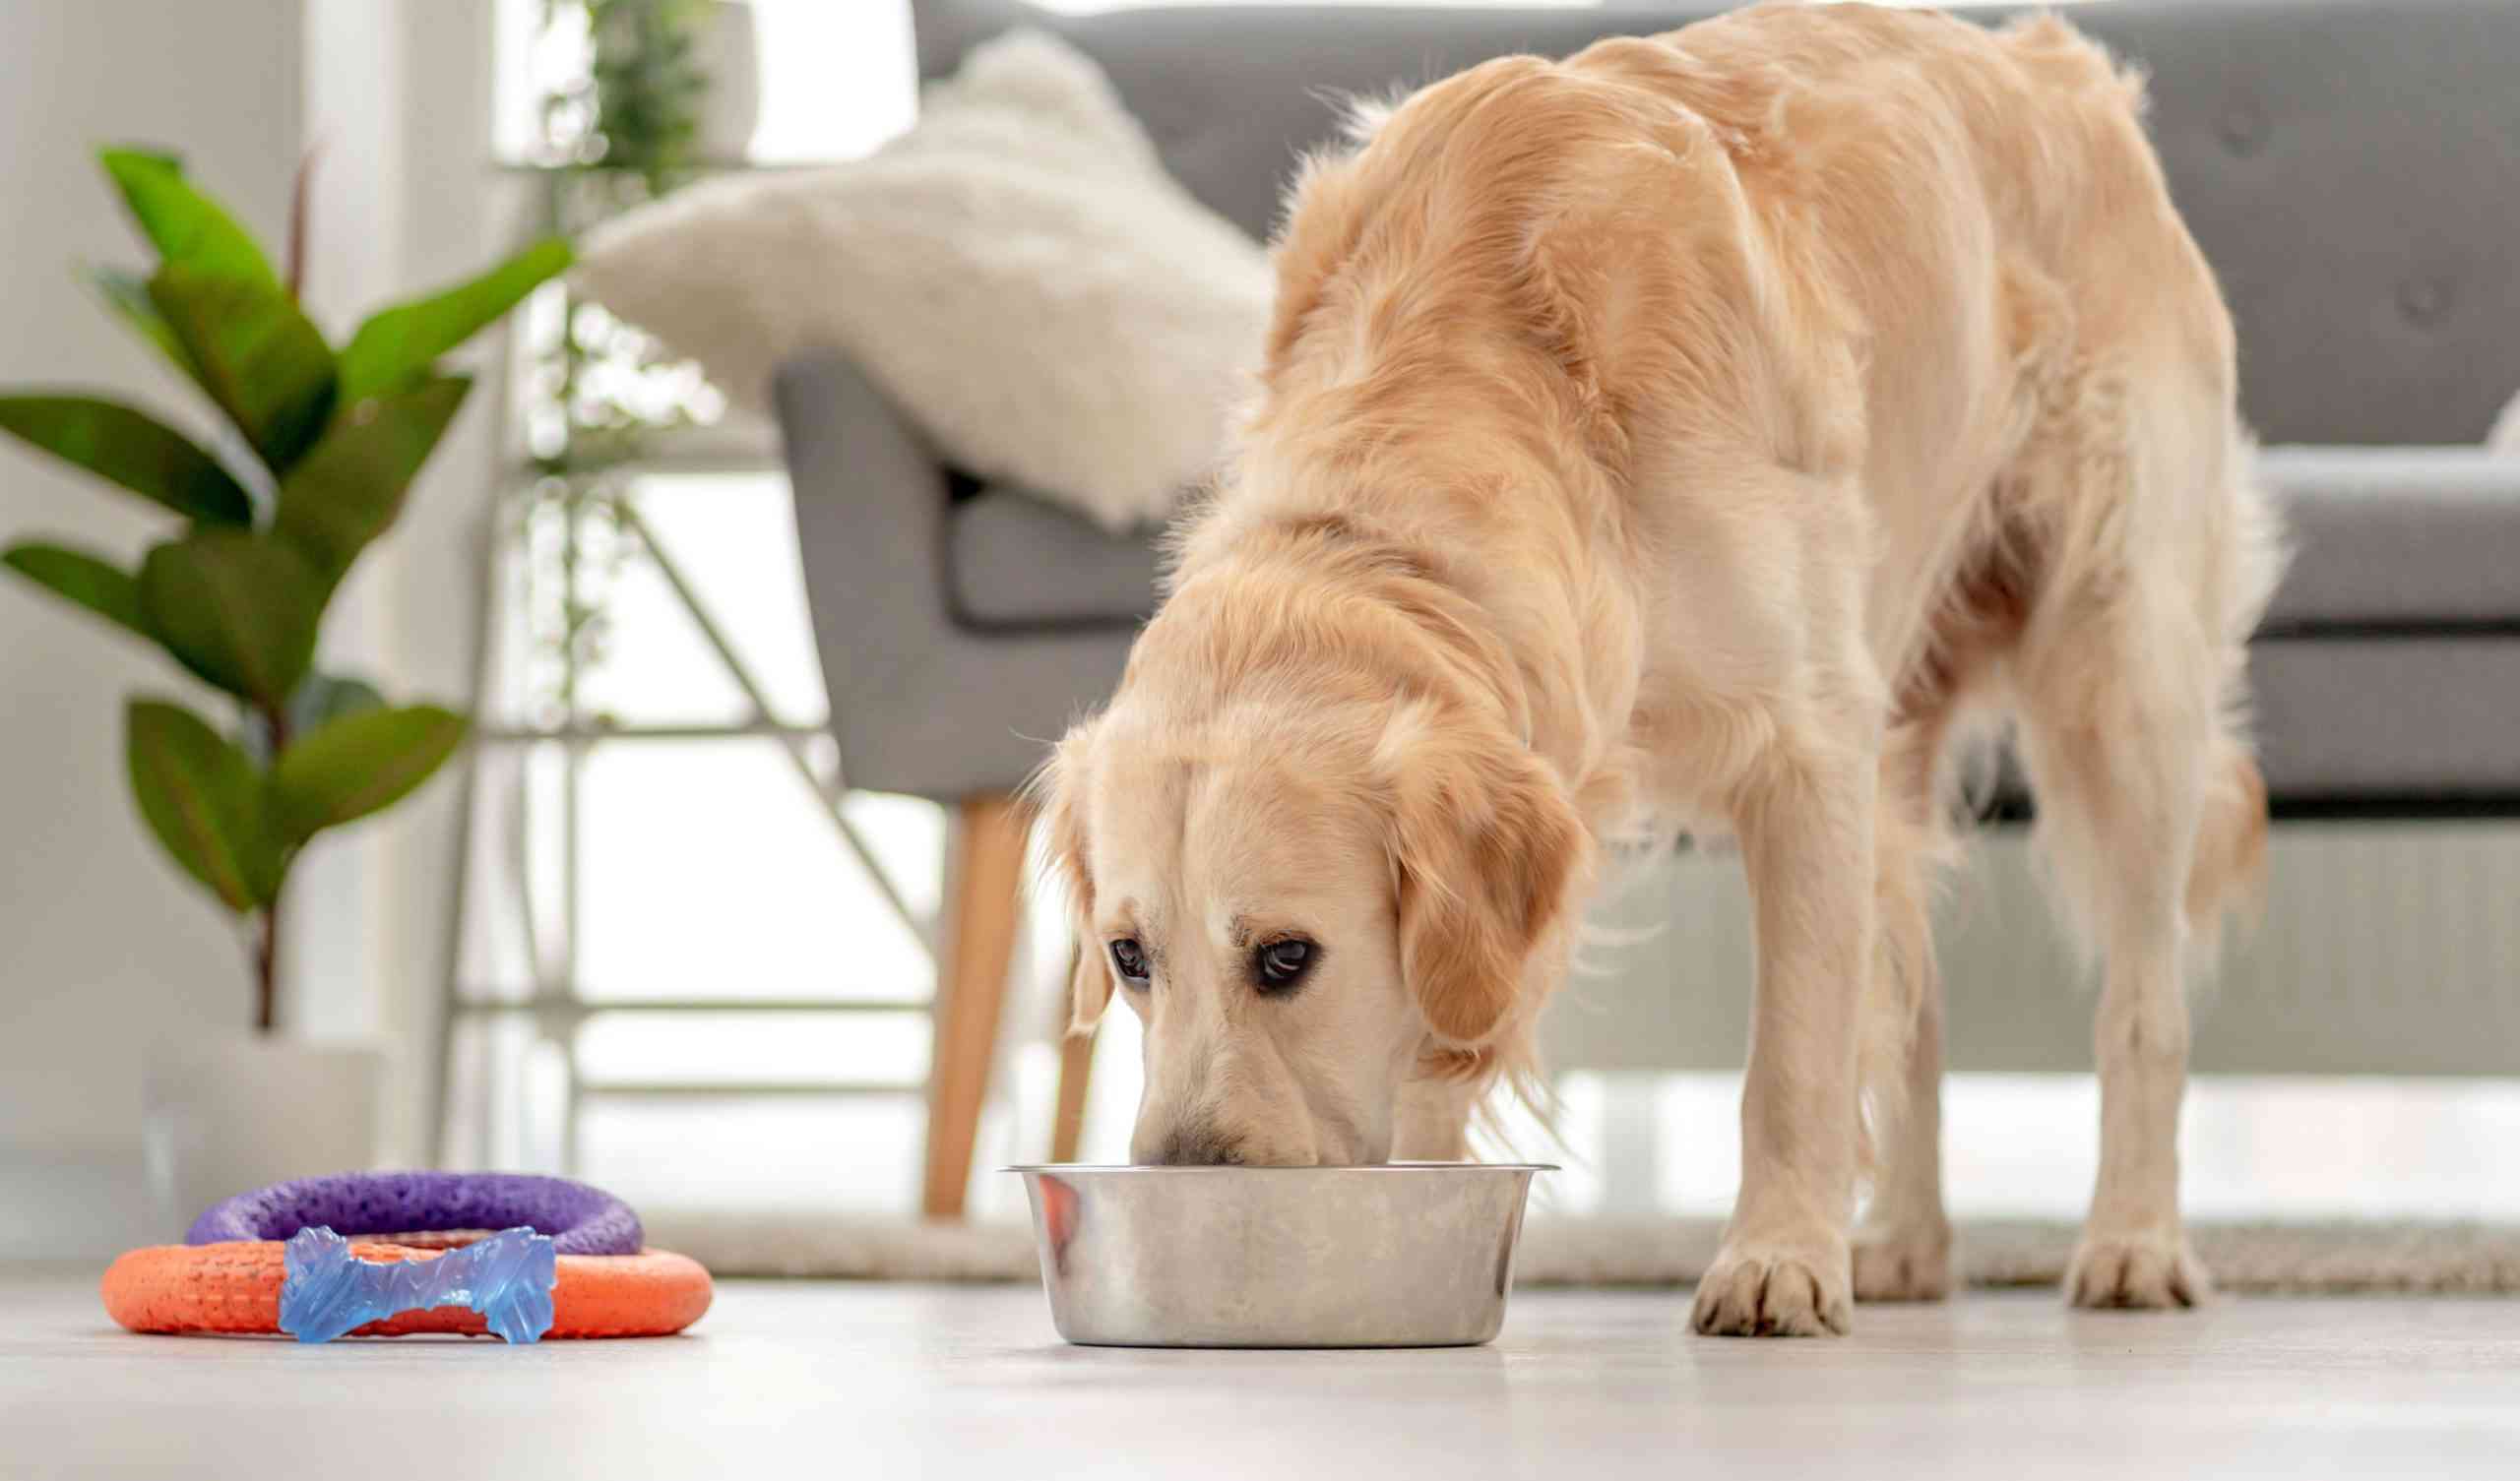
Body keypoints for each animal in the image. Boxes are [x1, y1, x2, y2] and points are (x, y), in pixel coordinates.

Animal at [1023, 0, 2288, 1339]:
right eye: (1127, 956)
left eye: (1284, 957)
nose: (1183, 1177)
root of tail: (2058, 63)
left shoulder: (1809, 746)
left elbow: (1792, 1053)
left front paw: (1777, 1258)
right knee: (1908, 987)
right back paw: (1905, 1242)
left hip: (2121, 666)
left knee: (2141, 1003)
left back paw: (2134, 1242)